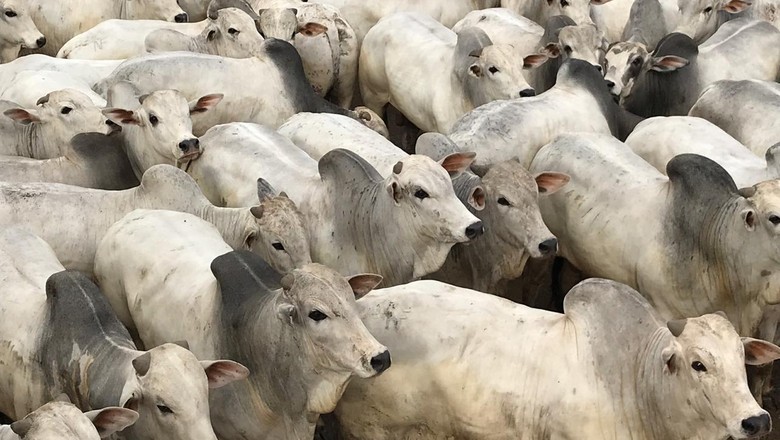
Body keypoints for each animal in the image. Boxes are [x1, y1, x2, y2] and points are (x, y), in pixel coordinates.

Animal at [360, 12, 538, 134]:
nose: (527, 92)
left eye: (521, 66)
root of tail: (385, 20)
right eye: (493, 68)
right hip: (373, 96)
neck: (469, 92)